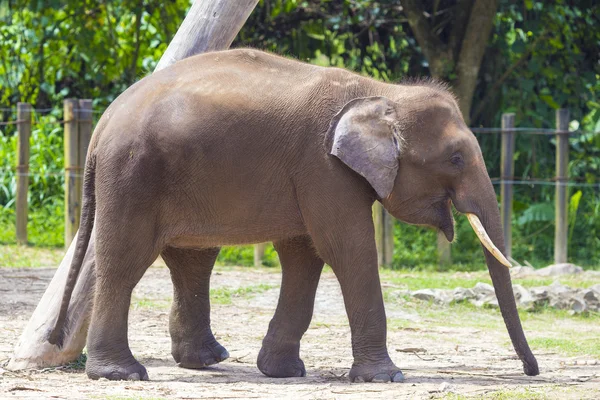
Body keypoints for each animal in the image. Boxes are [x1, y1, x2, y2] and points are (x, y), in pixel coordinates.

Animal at [48, 48, 540, 382]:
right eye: (455, 158)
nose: (531, 371)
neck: (382, 93)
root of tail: (103, 123)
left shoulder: (315, 176)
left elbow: (305, 256)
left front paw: (283, 372)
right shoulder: (323, 168)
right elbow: (347, 250)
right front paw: (388, 378)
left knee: (192, 260)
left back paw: (208, 360)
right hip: (132, 174)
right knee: (125, 261)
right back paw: (123, 374)